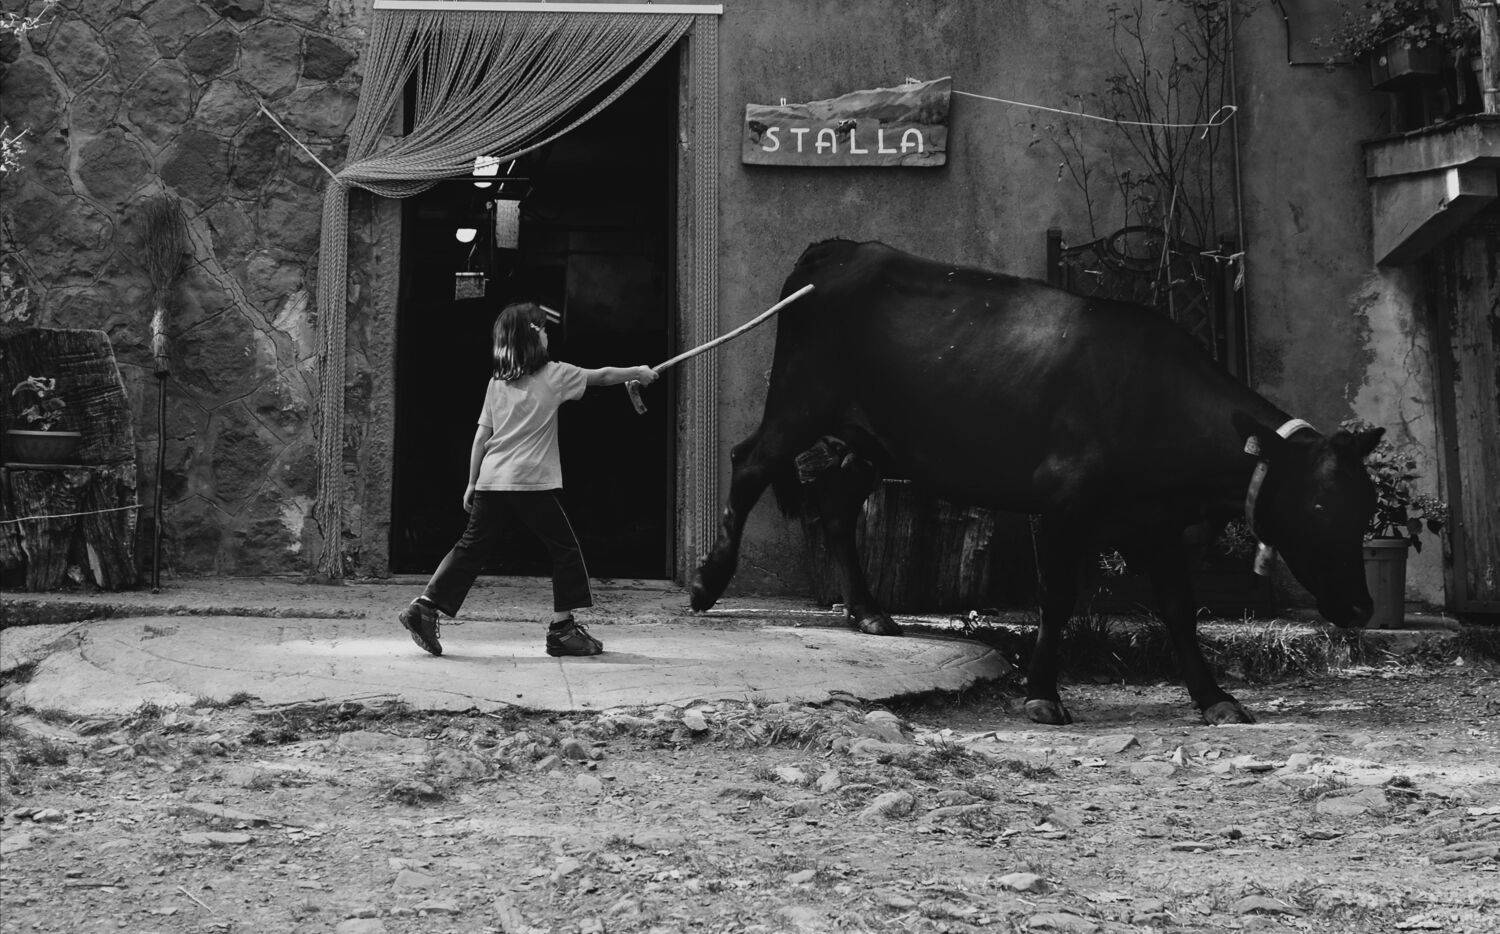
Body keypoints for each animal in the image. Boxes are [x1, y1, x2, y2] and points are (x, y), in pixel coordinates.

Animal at [690, 239, 1384, 726]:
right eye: (1318, 506)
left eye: (1365, 510)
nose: (1360, 608)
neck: (1153, 400)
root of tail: (838, 250)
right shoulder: (1064, 508)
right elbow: (1057, 599)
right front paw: (1043, 695)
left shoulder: (1156, 523)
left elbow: (1180, 611)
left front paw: (1214, 696)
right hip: (800, 402)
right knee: (748, 462)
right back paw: (708, 582)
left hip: (875, 442)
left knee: (835, 505)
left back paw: (869, 612)